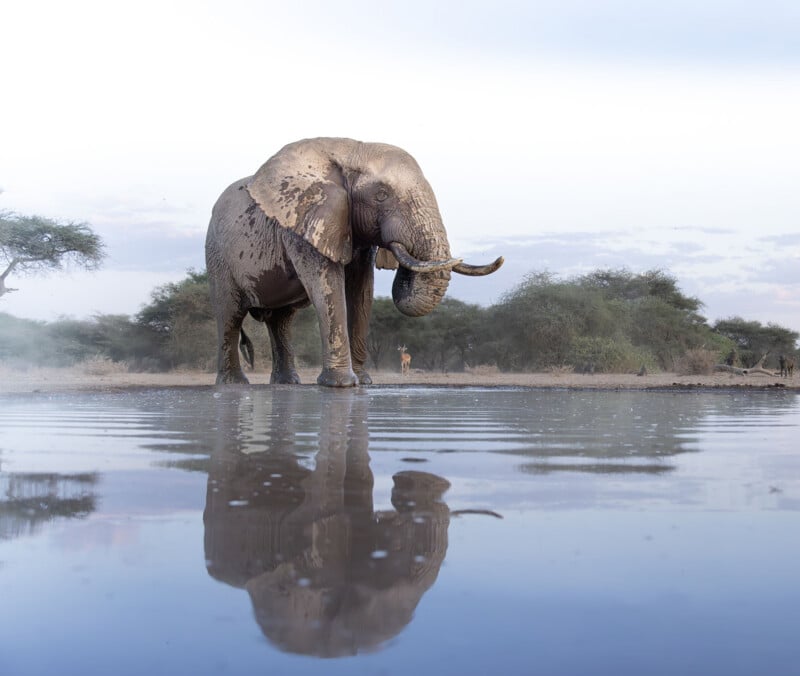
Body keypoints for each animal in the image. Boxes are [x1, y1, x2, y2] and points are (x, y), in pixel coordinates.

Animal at [205, 137, 503, 387]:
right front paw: (341, 385)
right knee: (231, 314)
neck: (351, 150)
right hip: (217, 255)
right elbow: (327, 286)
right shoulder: (303, 224)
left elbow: (361, 291)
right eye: (381, 194)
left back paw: (288, 383)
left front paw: (364, 382)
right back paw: (234, 384)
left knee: (281, 321)